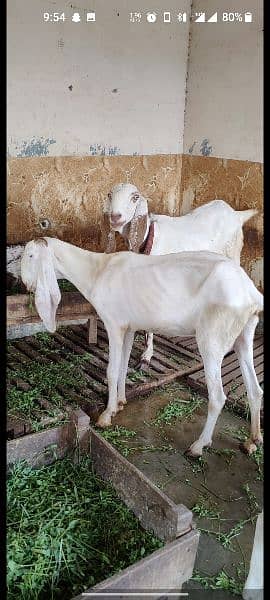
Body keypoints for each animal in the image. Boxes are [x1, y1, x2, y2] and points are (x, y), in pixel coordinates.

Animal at [21, 237, 264, 458]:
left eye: (30, 255)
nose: (24, 283)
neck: (97, 270)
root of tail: (251, 292)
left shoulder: (114, 323)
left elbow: (111, 371)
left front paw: (106, 415)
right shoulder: (128, 327)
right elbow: (123, 366)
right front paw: (119, 403)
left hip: (212, 337)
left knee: (218, 396)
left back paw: (198, 447)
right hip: (244, 333)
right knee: (254, 389)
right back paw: (252, 441)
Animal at [101, 183, 258, 368]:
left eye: (135, 197)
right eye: (109, 195)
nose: (115, 217)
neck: (148, 238)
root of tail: (236, 214)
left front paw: (147, 356)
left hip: (234, 255)